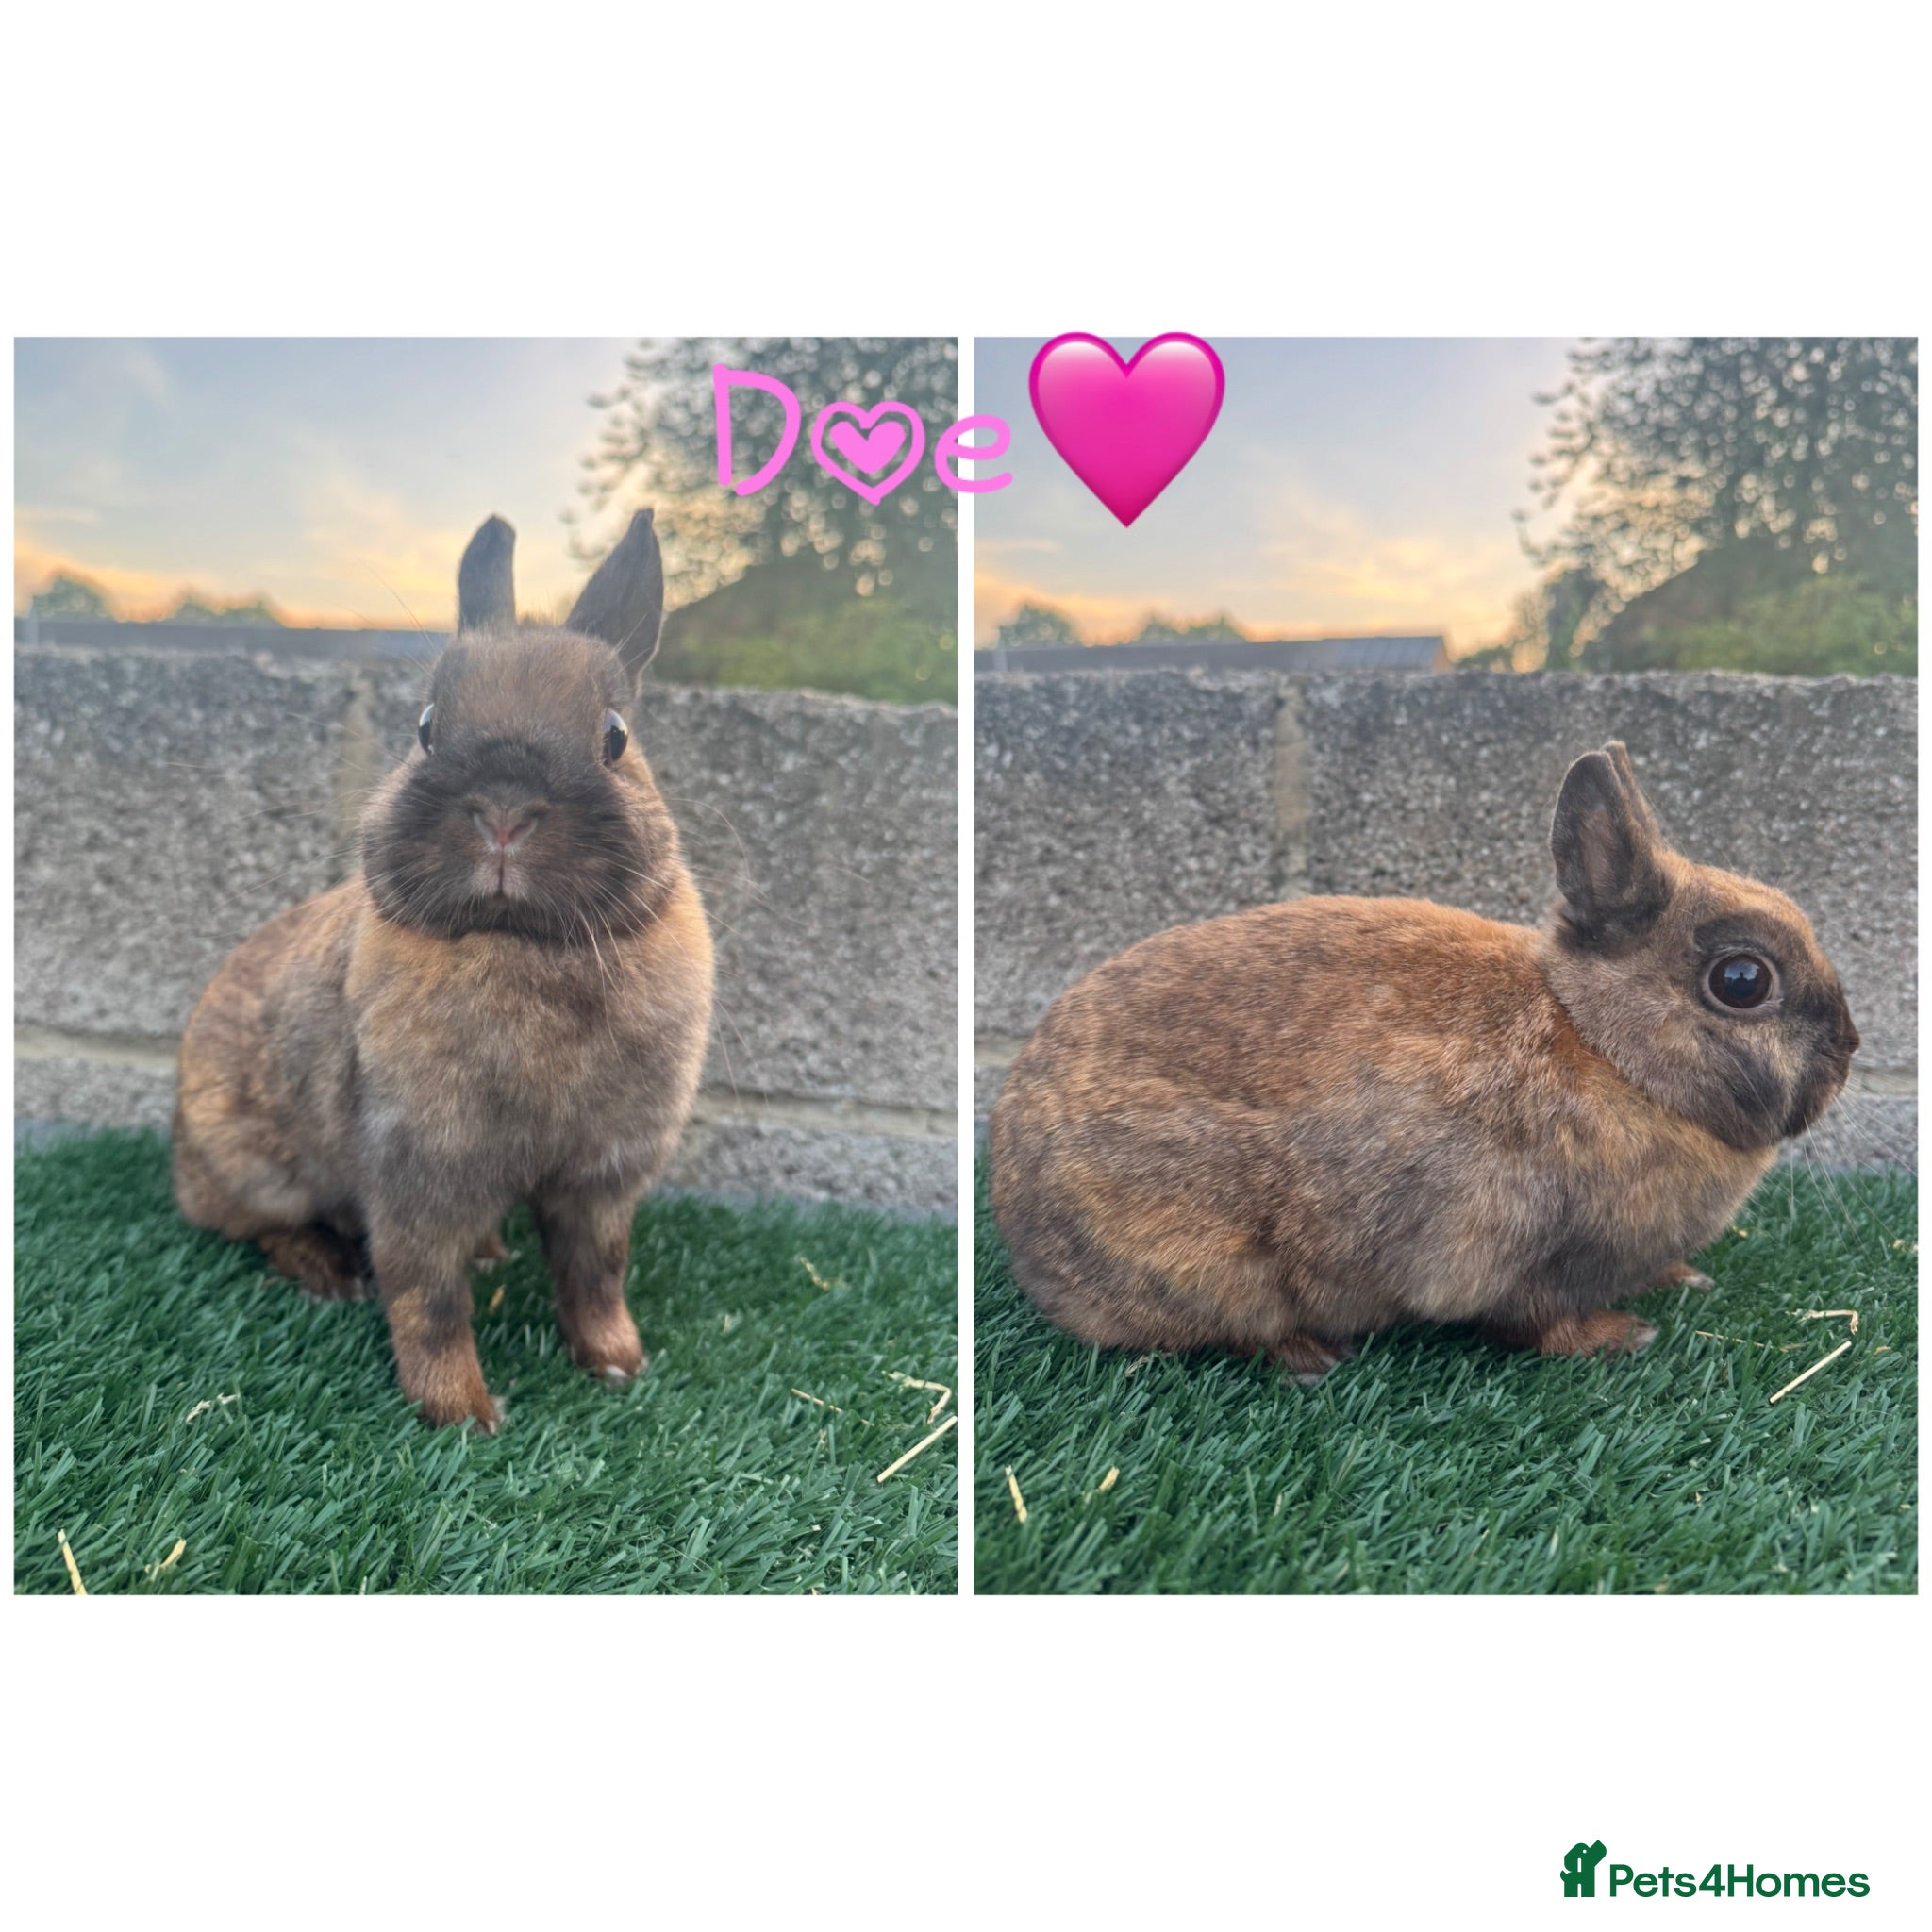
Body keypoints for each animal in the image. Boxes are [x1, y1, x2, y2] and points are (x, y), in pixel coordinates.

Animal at [173, 509, 714, 1430]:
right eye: (426, 726)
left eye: (615, 736)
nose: (503, 807)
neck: (518, 942)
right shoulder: (418, 1172)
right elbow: (427, 1299)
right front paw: (461, 1413)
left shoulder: (603, 1180)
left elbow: (597, 1275)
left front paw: (618, 1364)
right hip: (255, 1169)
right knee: (263, 1227)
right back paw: (328, 1274)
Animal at [988, 742, 1859, 1383]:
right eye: (1742, 981)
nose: (1849, 1050)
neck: (1605, 1047)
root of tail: (1013, 1208)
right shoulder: (1507, 1249)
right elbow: (1535, 1321)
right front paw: (1622, 1335)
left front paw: (1682, 1279)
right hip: (1208, 1265)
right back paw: (1310, 1357)